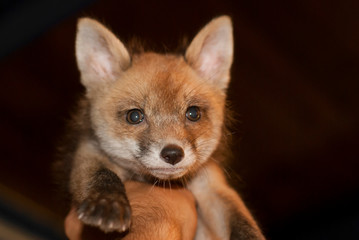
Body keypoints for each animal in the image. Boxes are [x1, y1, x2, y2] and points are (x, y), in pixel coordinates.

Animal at [58, 15, 264, 239]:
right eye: (135, 116)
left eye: (193, 113)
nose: (173, 154)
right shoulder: (90, 150)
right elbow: (100, 174)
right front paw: (107, 203)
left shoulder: (213, 187)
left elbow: (242, 221)